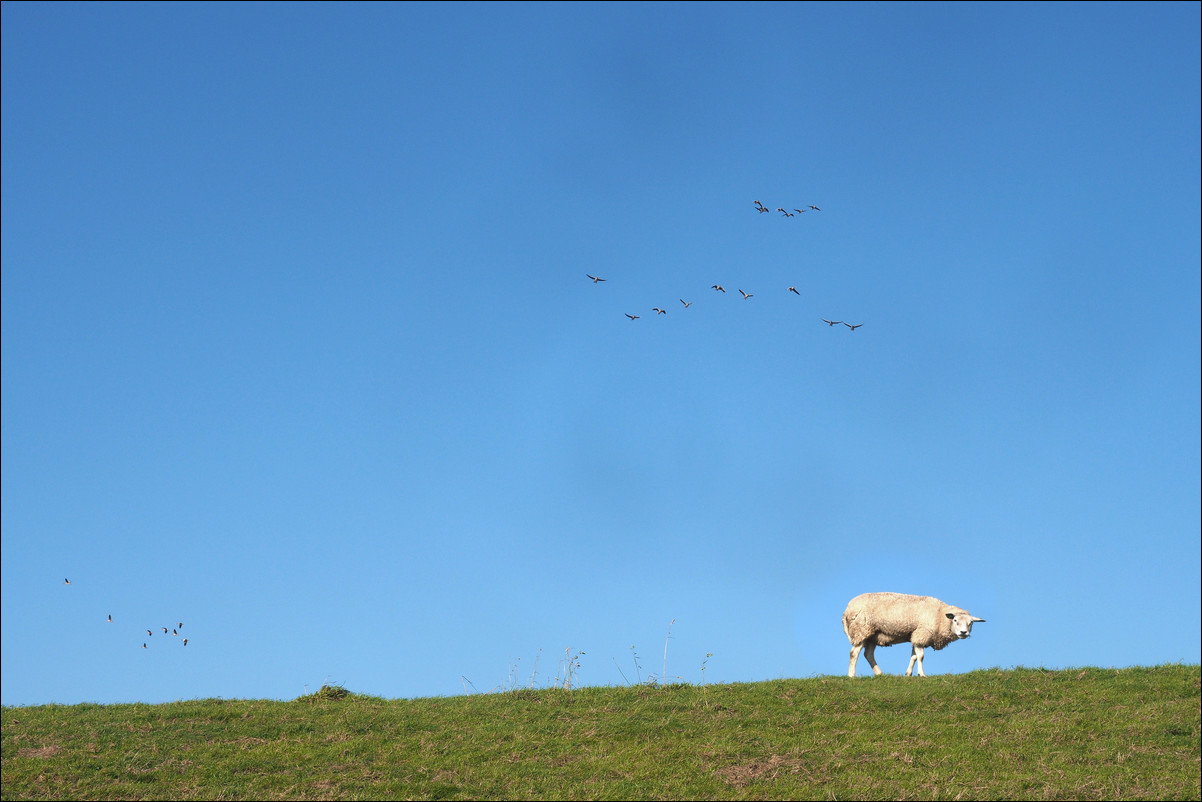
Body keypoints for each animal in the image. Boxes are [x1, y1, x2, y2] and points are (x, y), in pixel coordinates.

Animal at [846, 589, 985, 678]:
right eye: (955, 620)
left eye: (971, 623)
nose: (963, 632)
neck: (940, 614)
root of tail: (847, 609)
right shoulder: (922, 633)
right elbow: (921, 656)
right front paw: (921, 674)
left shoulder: (916, 635)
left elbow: (913, 656)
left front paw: (908, 674)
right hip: (861, 630)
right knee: (854, 653)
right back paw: (851, 675)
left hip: (872, 636)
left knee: (868, 654)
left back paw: (880, 674)